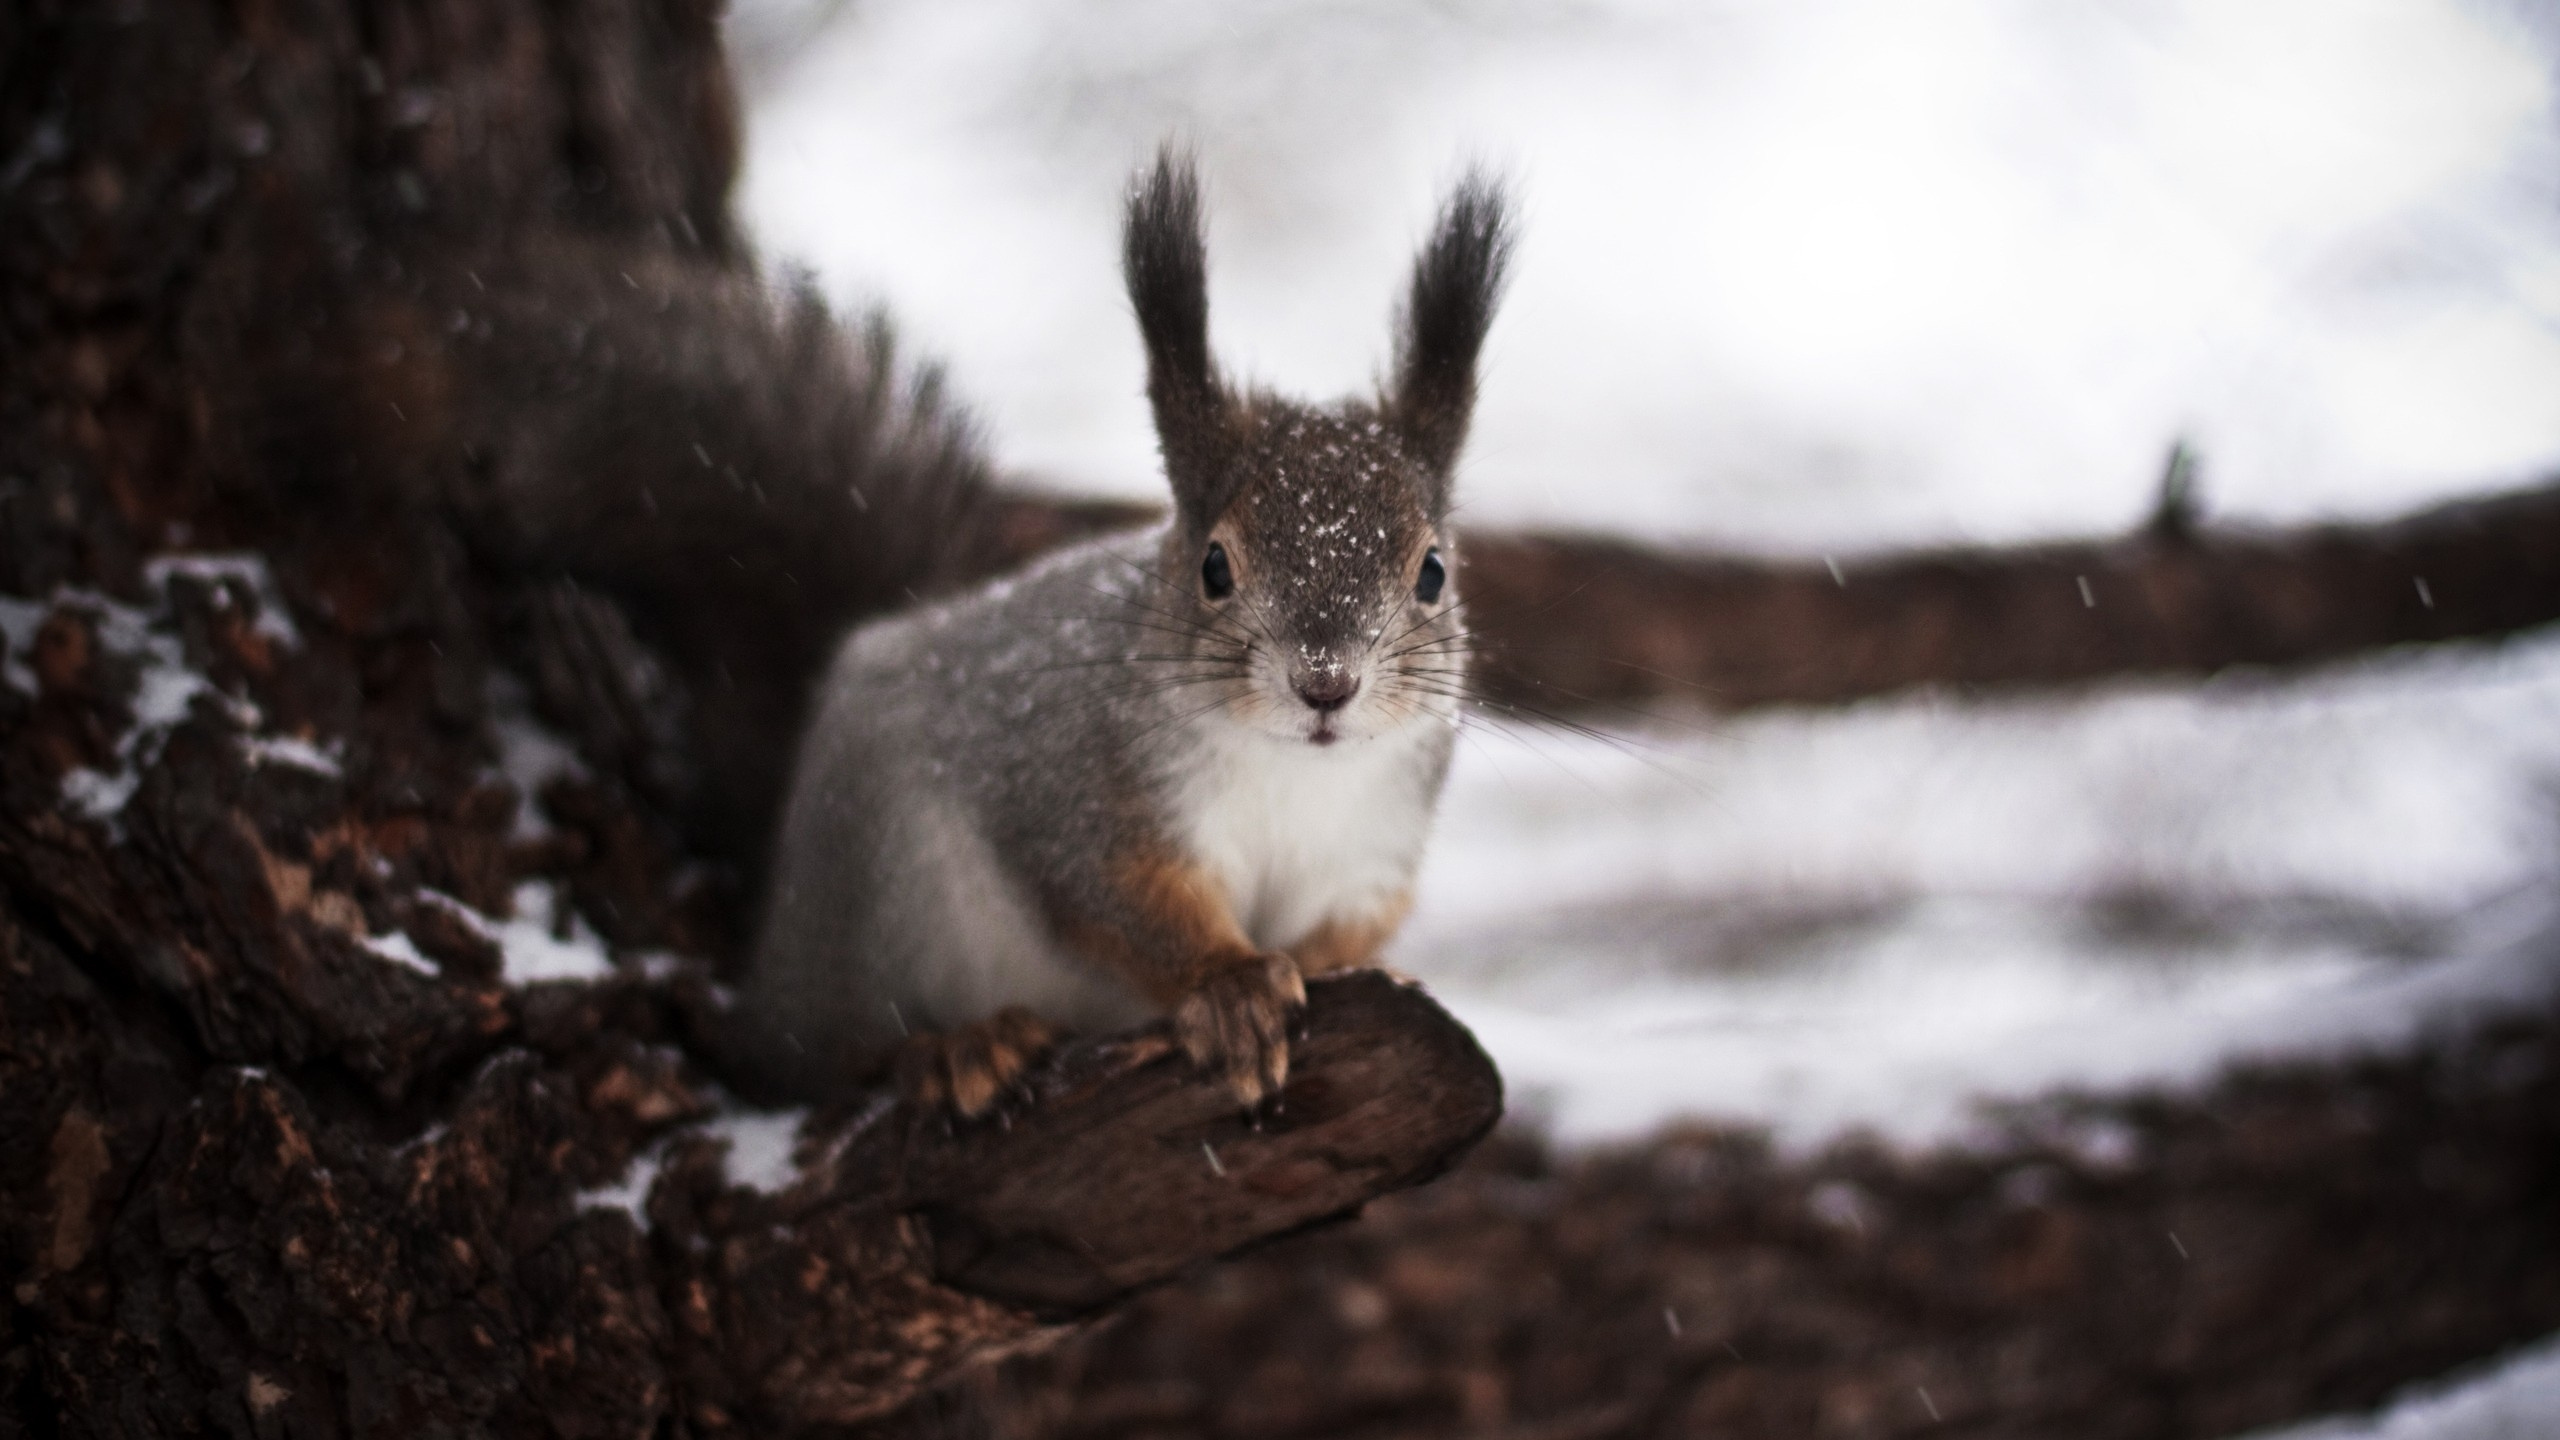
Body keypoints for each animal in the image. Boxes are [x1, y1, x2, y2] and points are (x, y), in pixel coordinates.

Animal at [732, 151, 1505, 1101]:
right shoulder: (1083, 798)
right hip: (875, 884)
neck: (1294, 773)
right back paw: (955, 1046)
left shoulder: (1370, 859)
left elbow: (1340, 935)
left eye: (1433, 572)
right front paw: (1233, 989)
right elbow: (1127, 905)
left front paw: (1352, 972)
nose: (1325, 683)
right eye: (1213, 567)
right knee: (826, 1054)